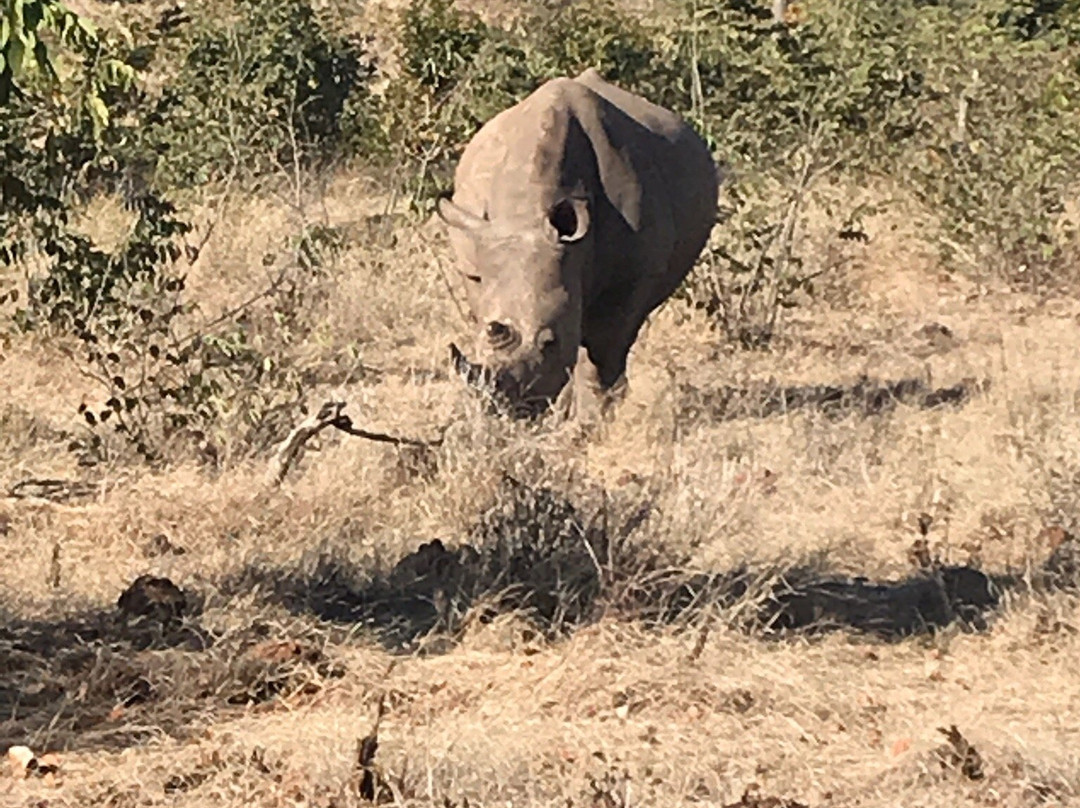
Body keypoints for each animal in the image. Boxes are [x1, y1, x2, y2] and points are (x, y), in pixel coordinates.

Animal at [436, 68, 719, 418]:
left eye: (549, 342)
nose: (510, 410)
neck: (526, 214)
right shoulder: (478, 263)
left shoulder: (631, 276)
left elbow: (603, 347)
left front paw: (595, 418)